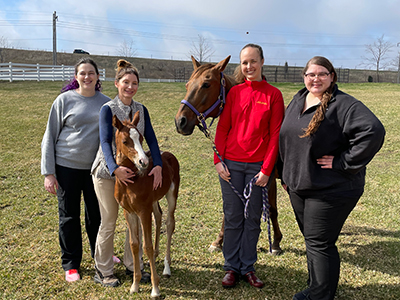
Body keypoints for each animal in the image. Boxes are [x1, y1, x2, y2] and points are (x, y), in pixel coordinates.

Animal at [113, 112, 180, 298]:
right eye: (125, 141)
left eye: (141, 138)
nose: (143, 161)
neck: (131, 181)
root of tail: (168, 153)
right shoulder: (129, 212)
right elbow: (135, 245)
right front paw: (135, 285)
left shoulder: (143, 211)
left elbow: (147, 246)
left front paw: (155, 288)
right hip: (154, 199)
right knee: (158, 215)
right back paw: (157, 257)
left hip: (172, 194)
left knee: (169, 223)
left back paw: (166, 267)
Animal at [173, 55, 282, 254]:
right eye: (187, 85)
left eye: (206, 84)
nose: (180, 122)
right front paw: (219, 241)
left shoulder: (268, 180)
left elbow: (271, 209)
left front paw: (276, 243)